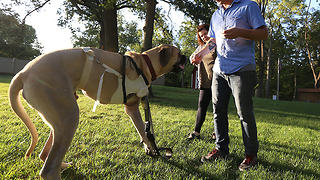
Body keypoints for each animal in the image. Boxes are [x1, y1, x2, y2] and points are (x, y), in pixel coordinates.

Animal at [8, 44, 188, 179]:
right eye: (178, 53)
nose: (187, 56)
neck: (145, 62)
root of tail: (23, 73)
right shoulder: (134, 107)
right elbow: (145, 131)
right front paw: (152, 149)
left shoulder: (133, 108)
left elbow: (144, 132)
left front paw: (150, 149)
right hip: (68, 116)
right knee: (49, 169)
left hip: (61, 116)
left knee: (45, 154)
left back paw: (63, 165)